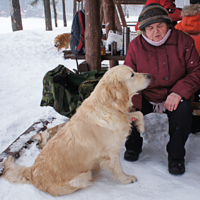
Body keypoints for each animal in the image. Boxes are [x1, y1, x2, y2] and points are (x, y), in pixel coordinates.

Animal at [1, 65, 150, 196]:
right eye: (132, 75)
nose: (149, 75)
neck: (108, 105)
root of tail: (32, 171)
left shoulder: (123, 116)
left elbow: (138, 113)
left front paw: (141, 126)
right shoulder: (111, 152)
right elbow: (118, 168)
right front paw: (127, 179)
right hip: (81, 178)